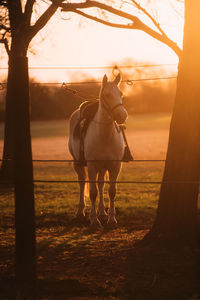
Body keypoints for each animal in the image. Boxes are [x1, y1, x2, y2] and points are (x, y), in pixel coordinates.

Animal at [69, 74, 127, 229]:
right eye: (107, 95)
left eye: (120, 94)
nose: (122, 116)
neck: (104, 135)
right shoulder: (91, 166)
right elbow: (93, 192)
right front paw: (94, 220)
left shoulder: (115, 166)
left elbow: (111, 191)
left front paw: (111, 219)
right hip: (78, 164)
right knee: (82, 183)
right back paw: (81, 211)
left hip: (102, 167)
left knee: (101, 185)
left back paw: (102, 212)